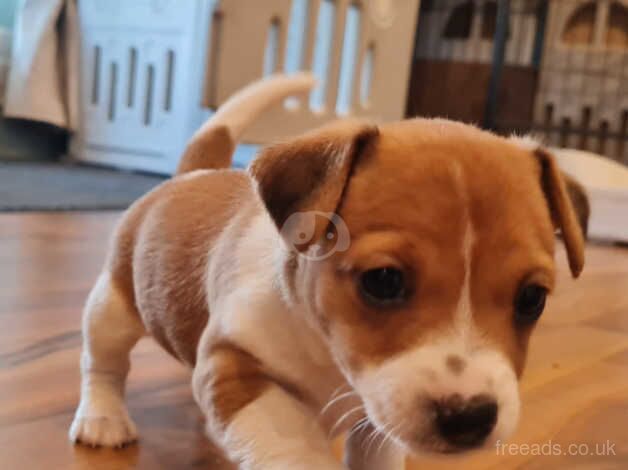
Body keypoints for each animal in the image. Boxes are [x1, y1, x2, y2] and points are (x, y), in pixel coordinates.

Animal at [70, 73, 588, 470]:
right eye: (383, 281)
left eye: (532, 299)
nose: (469, 419)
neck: (324, 352)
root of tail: (194, 173)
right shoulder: (232, 369)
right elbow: (295, 447)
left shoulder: (375, 423)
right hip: (112, 307)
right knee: (104, 364)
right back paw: (102, 418)